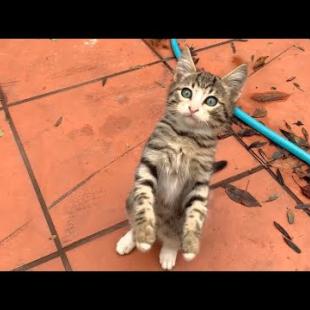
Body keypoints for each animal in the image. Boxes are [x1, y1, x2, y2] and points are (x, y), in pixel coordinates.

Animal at [115, 46, 248, 272]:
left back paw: (169, 251)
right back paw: (131, 238)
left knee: (173, 238)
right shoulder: (150, 162)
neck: (186, 137)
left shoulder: (200, 181)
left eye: (211, 101)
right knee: (133, 215)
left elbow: (196, 213)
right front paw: (143, 234)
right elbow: (143, 197)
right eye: (187, 92)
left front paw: (192, 244)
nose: (193, 108)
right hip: (128, 199)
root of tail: (161, 229)